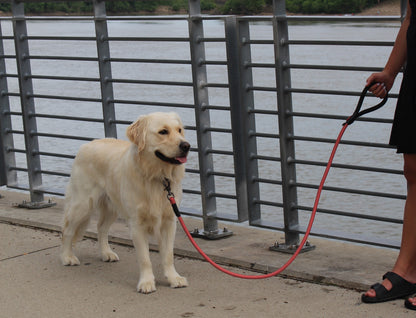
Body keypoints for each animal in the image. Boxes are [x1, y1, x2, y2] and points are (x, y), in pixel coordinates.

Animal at [60, 112, 190, 294]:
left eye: (179, 130)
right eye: (163, 131)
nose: (186, 145)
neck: (156, 176)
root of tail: (86, 144)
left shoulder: (169, 221)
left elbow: (168, 255)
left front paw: (173, 278)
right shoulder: (137, 224)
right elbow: (144, 258)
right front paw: (146, 282)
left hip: (111, 206)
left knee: (101, 228)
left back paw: (106, 253)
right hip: (83, 204)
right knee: (68, 229)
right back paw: (67, 256)